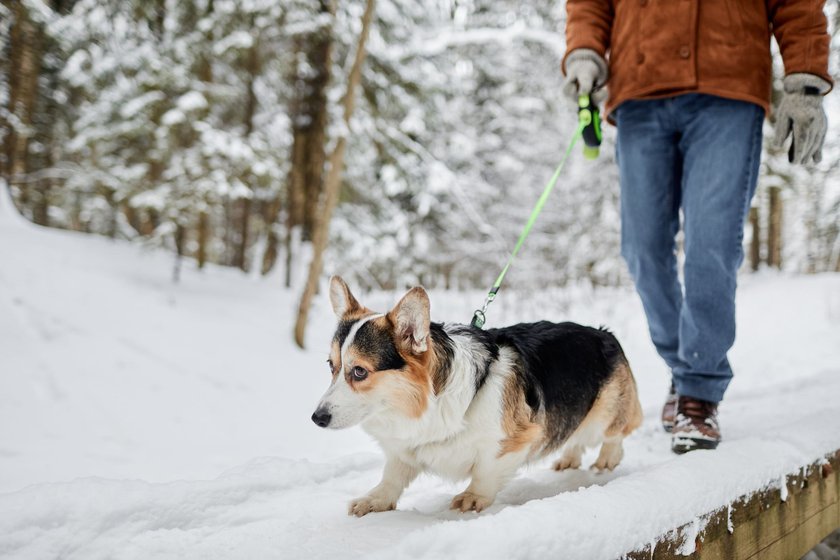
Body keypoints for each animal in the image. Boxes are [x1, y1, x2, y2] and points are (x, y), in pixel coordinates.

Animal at [312, 276, 640, 516]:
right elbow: (392, 476)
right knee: (574, 435)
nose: (317, 418)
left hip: (605, 414)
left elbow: (485, 471)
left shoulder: (515, 439)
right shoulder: (403, 450)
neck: (426, 403)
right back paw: (569, 459)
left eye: (359, 372)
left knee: (616, 432)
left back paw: (607, 458)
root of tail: (604, 333)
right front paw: (375, 500)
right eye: (331, 365)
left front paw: (472, 497)